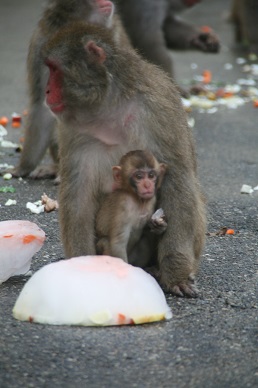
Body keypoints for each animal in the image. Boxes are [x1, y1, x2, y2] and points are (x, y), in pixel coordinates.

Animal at [42, 1, 207, 298]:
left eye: (55, 69)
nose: (47, 91)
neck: (108, 105)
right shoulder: (71, 129)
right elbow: (79, 194)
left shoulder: (159, 106)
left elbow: (178, 179)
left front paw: (176, 271)